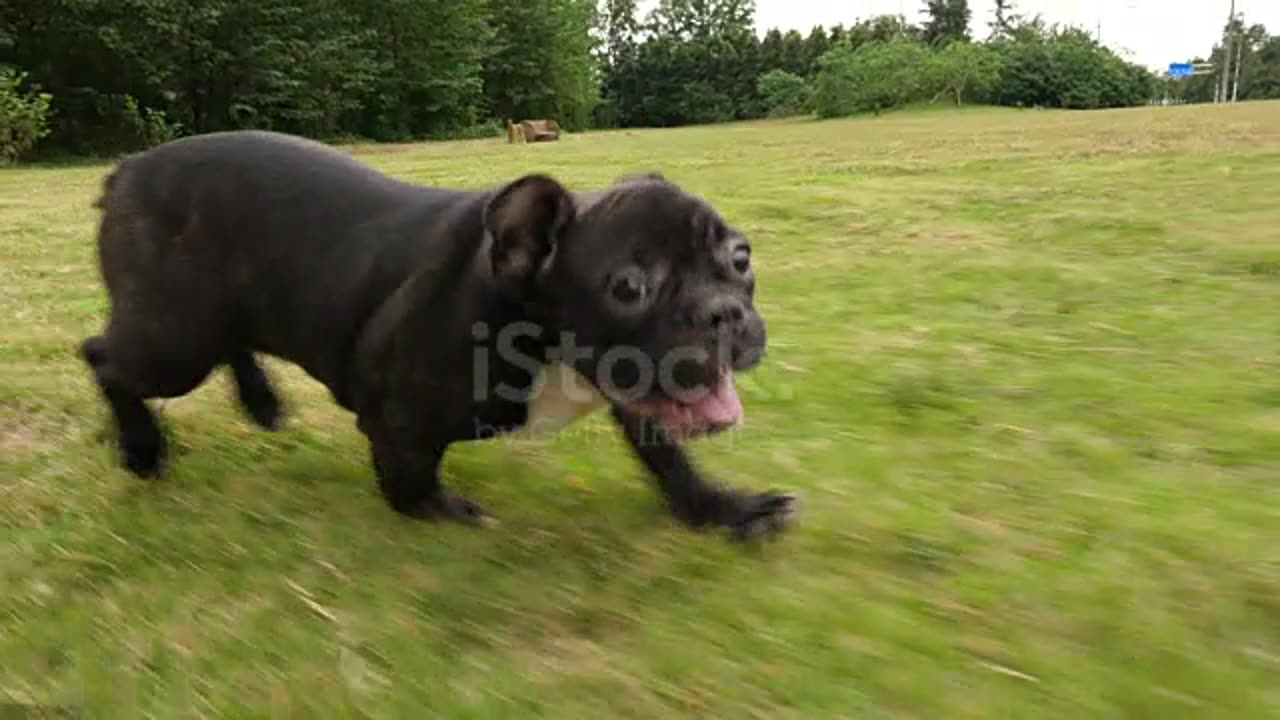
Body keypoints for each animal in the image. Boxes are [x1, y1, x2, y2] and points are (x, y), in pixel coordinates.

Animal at [80, 131, 793, 540]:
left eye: (740, 257)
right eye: (629, 287)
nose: (725, 312)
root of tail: (125, 171)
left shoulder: (638, 396)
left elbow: (668, 458)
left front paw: (722, 509)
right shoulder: (396, 416)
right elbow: (407, 477)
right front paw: (442, 511)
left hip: (208, 321)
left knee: (229, 341)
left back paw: (262, 403)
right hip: (173, 342)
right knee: (104, 361)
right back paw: (142, 450)